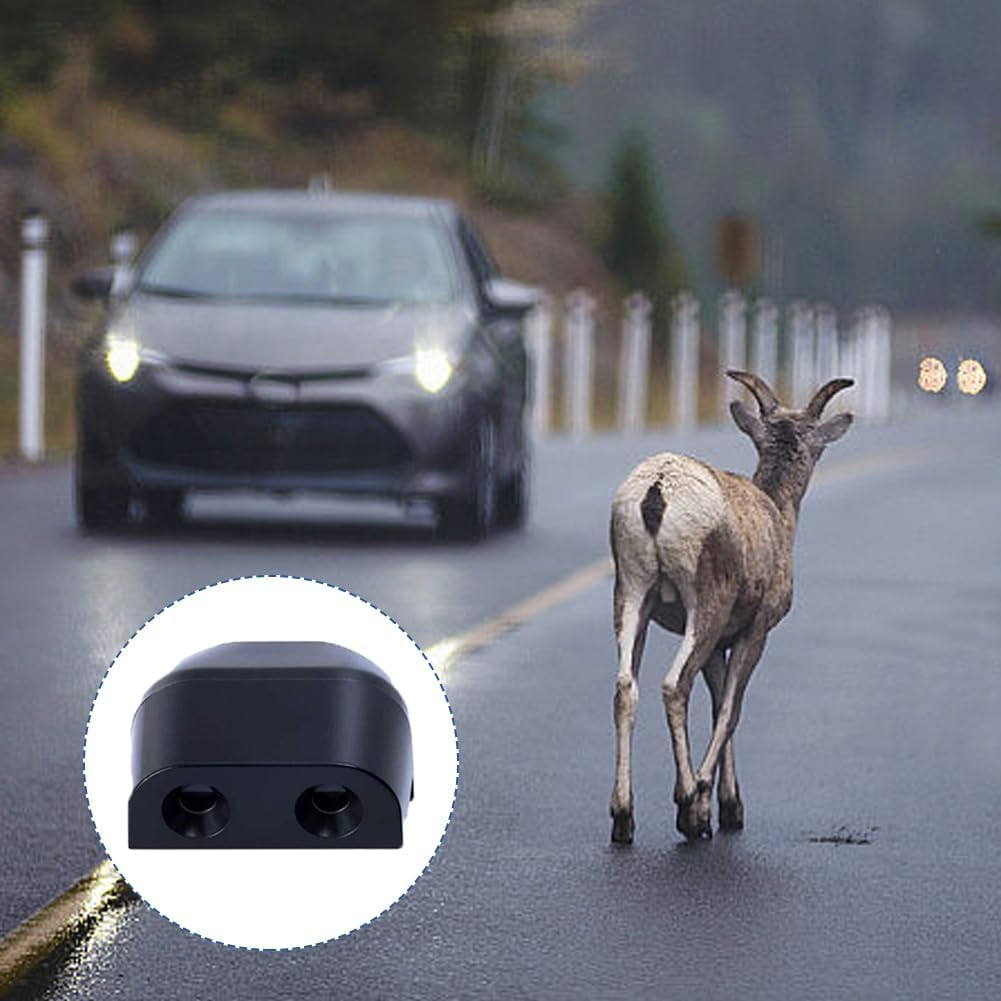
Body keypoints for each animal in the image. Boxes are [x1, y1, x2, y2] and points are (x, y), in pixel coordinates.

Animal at [609, 370, 853, 843]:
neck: (777, 517)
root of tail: (656, 493)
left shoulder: (719, 643)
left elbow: (718, 699)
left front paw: (725, 807)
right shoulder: (753, 632)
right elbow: (731, 709)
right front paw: (712, 808)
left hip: (631, 594)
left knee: (626, 686)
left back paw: (623, 818)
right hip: (705, 607)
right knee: (673, 685)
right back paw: (685, 801)